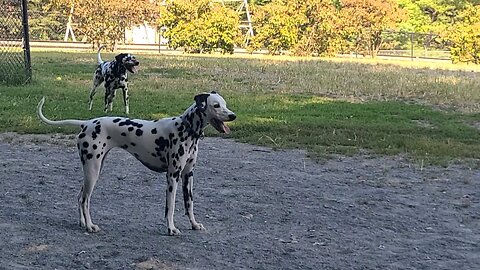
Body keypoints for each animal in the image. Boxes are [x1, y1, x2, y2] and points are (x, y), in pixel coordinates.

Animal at [37, 92, 236, 235]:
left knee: (80, 197)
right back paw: (90, 226)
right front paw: (171, 228)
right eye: (216, 105)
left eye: (225, 103)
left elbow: (189, 204)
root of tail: (87, 123)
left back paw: (82, 222)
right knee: (85, 199)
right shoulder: (172, 176)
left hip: (93, 169)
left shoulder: (188, 175)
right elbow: (170, 206)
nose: (233, 115)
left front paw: (194, 224)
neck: (185, 128)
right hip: (92, 170)